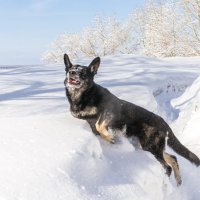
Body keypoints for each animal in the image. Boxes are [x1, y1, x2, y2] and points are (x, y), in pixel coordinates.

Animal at [63, 54, 199, 185]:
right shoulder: (89, 121)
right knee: (173, 158)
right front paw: (108, 138)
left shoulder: (110, 111)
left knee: (167, 166)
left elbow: (99, 125)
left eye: (82, 72)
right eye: (70, 69)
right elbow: (97, 130)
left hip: (151, 147)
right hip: (152, 147)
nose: (72, 72)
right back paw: (178, 181)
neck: (84, 95)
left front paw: (109, 137)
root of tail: (164, 123)